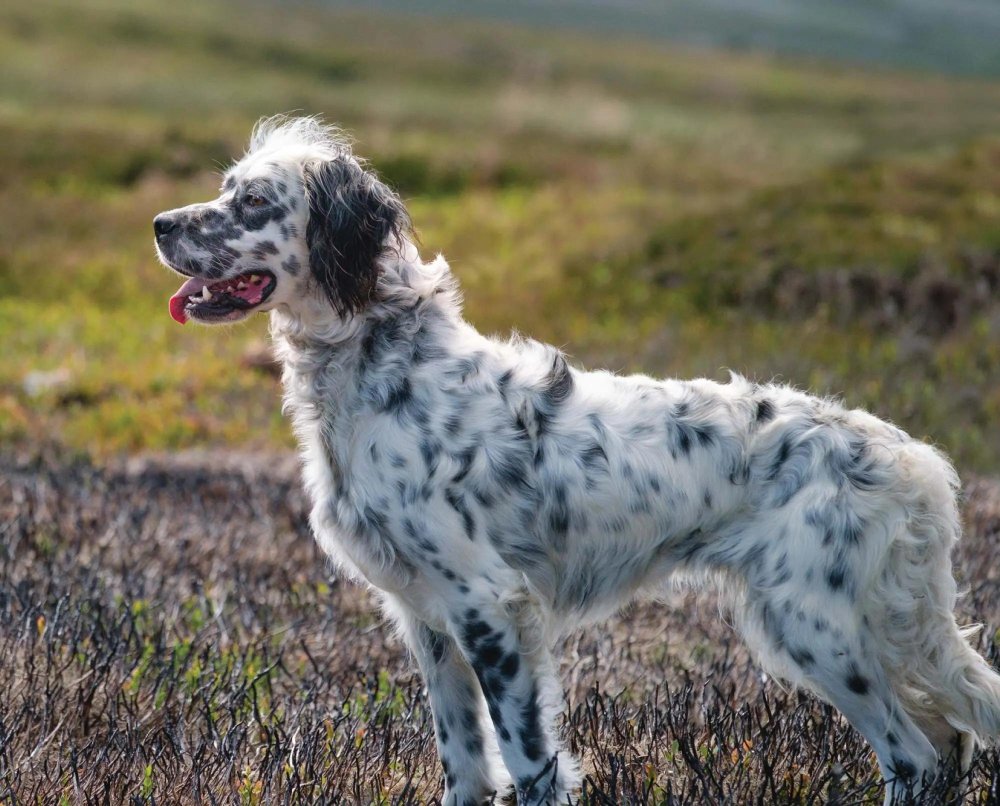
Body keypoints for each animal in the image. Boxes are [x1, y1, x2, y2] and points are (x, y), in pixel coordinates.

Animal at [154, 117, 1000, 804]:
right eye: (225, 189)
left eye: (254, 202)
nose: (160, 224)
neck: (380, 365)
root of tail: (910, 458)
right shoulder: (429, 622)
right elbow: (465, 765)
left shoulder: (488, 607)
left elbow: (531, 763)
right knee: (949, 742)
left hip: (815, 627)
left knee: (916, 757)